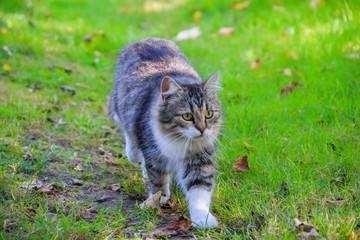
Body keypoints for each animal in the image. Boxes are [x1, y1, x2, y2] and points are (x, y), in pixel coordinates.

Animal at [108, 38, 222, 229]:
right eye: (187, 116)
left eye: (209, 114)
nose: (202, 129)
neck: (180, 141)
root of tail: (146, 39)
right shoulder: (154, 152)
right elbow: (158, 183)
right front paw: (158, 200)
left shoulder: (199, 159)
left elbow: (199, 190)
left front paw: (202, 218)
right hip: (122, 109)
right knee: (130, 138)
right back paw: (134, 155)